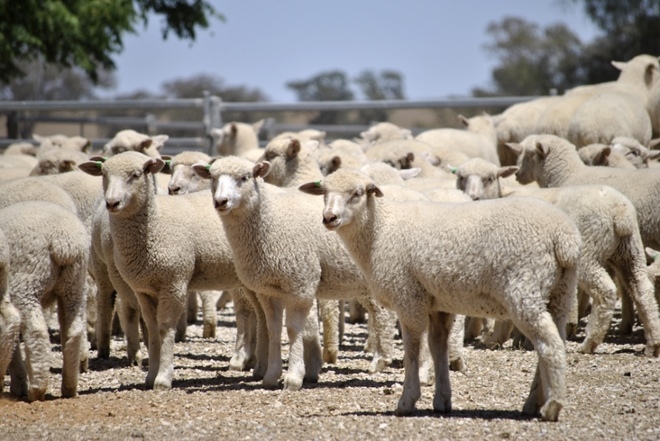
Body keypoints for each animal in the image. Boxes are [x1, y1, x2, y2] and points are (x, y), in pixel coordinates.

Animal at [1, 201, 89, 401]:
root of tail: (63, 243)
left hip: (27, 282)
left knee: (35, 330)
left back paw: (36, 389)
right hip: (74, 285)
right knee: (74, 330)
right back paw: (69, 387)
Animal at [79, 152, 245, 390]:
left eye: (136, 174)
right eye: (103, 174)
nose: (112, 203)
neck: (155, 223)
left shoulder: (173, 282)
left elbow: (165, 327)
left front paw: (163, 378)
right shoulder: (144, 289)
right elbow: (151, 327)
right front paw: (150, 376)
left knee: (245, 314)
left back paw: (241, 359)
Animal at [191, 156, 401, 391]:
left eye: (245, 178)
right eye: (213, 178)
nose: (221, 201)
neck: (269, 224)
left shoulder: (299, 284)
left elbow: (293, 330)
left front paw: (293, 377)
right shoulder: (268, 291)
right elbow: (273, 329)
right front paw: (271, 376)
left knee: (383, 314)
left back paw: (380, 361)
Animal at [299, 168, 580, 421]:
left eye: (357, 193)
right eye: (324, 192)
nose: (329, 217)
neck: (380, 231)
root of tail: (564, 239)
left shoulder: (408, 297)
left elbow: (413, 349)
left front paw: (407, 400)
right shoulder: (437, 303)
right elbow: (437, 347)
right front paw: (442, 400)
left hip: (524, 289)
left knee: (549, 345)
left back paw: (552, 407)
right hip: (561, 293)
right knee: (555, 340)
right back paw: (533, 402)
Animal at [454, 157, 660, 355]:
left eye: (490, 178)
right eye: (461, 178)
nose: (472, 197)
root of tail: (619, 211)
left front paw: (497, 339)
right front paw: (521, 340)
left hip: (588, 252)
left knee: (606, 291)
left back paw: (589, 343)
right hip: (630, 250)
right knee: (642, 289)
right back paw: (653, 345)